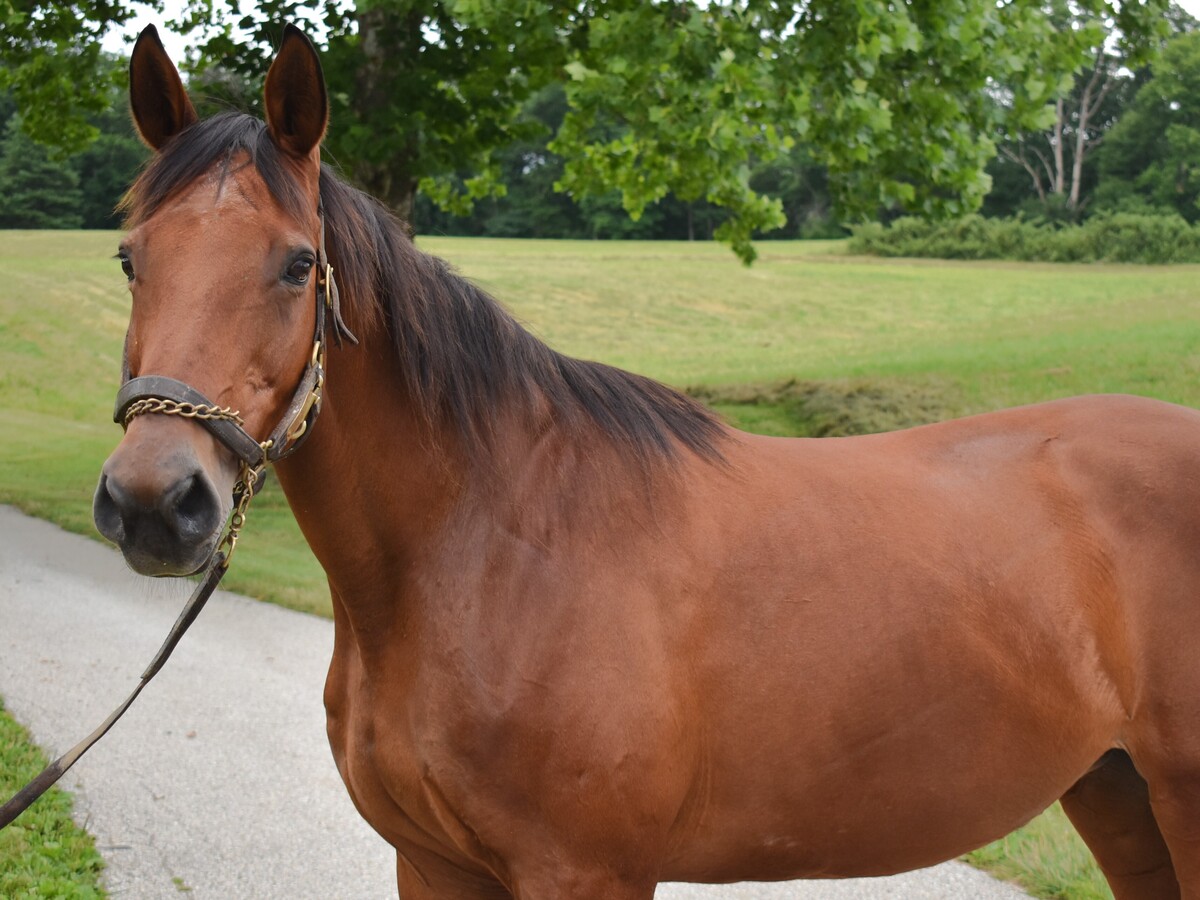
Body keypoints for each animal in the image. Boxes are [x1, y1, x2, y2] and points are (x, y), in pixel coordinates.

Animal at [94, 23, 1200, 900]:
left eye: (296, 265)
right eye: (131, 258)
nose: (156, 500)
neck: (492, 547)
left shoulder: (584, 871)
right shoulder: (435, 866)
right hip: (1117, 793)